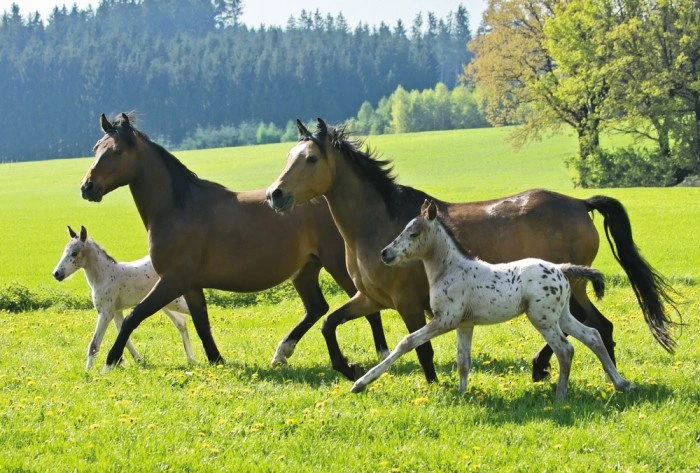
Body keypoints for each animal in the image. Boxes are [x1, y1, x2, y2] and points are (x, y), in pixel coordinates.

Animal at [52, 225, 195, 369]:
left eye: (74, 253)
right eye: (64, 251)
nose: (56, 274)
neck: (105, 275)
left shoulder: (106, 313)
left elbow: (94, 345)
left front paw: (88, 371)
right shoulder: (116, 312)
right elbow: (124, 335)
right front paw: (137, 360)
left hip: (174, 302)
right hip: (165, 304)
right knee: (181, 322)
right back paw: (191, 359)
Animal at [79, 113, 388, 371]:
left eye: (116, 151)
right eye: (96, 148)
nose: (87, 187)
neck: (178, 208)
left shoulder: (172, 280)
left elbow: (134, 316)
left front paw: (110, 362)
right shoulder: (191, 285)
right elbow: (202, 324)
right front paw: (217, 361)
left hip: (336, 264)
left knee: (365, 306)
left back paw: (383, 355)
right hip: (305, 269)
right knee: (316, 308)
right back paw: (281, 353)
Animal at [351, 200, 633, 399]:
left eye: (414, 233)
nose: (385, 253)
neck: (450, 269)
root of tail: (561, 269)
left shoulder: (445, 320)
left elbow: (406, 342)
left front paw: (361, 383)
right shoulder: (465, 325)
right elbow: (463, 361)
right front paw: (462, 394)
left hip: (542, 318)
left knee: (565, 349)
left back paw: (560, 395)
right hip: (562, 316)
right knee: (592, 336)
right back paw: (621, 383)